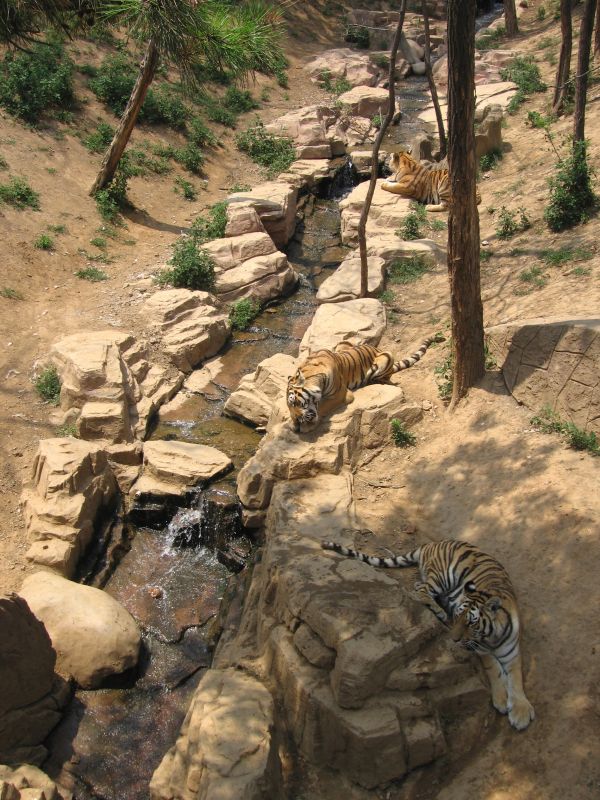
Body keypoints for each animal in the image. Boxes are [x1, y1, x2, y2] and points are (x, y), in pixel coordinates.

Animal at [287, 334, 443, 432]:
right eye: (290, 405)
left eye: (295, 402)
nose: (298, 419)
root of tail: (377, 348)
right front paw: (294, 424)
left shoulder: (341, 394)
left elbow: (322, 408)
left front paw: (307, 426)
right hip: (343, 342)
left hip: (387, 357)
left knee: (384, 379)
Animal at [321, 537, 535, 731]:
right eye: (458, 616)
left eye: (471, 623)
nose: (454, 639)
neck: (492, 637)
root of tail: (431, 544)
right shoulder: (482, 651)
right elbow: (495, 671)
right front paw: (501, 700)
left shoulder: (512, 651)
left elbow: (516, 679)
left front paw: (520, 712)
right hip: (443, 576)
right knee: (422, 590)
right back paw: (439, 611)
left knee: (419, 586)